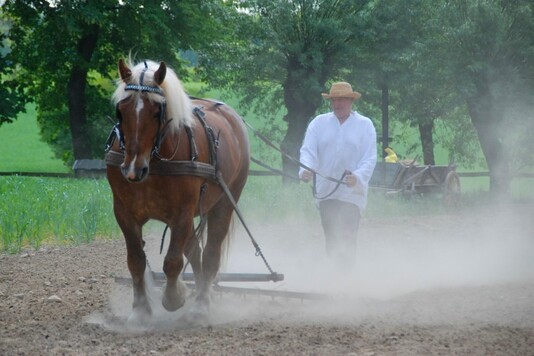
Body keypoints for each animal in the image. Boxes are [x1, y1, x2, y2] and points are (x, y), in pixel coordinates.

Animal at [105, 59, 251, 326]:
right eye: (121, 110)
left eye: (157, 111)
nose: (132, 170)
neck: (153, 162)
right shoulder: (124, 213)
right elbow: (136, 261)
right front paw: (140, 310)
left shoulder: (181, 213)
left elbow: (172, 262)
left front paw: (174, 298)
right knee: (195, 252)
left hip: (225, 202)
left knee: (210, 255)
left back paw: (200, 306)